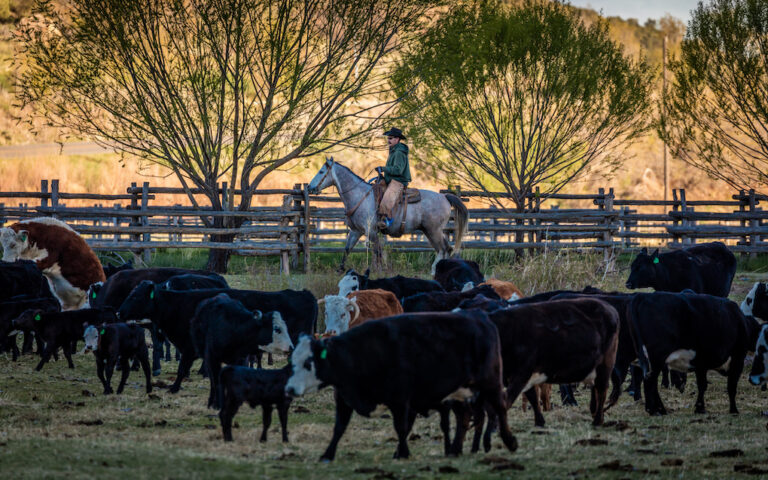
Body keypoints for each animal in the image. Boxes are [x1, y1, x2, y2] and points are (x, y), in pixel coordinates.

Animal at [117, 284, 316, 392]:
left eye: (135, 296)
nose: (119, 312)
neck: (178, 305)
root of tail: (303, 293)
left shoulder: (189, 347)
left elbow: (182, 369)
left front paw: (174, 387)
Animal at [282, 312, 516, 462]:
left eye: (308, 362)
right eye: (293, 362)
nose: (289, 390)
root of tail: (481, 319)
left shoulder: (400, 399)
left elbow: (401, 427)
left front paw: (403, 453)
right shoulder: (344, 398)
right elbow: (338, 428)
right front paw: (327, 454)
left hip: (491, 382)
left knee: (501, 408)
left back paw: (509, 441)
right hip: (458, 392)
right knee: (464, 417)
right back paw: (455, 450)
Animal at [306, 156, 468, 272]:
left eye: (321, 172)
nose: (309, 187)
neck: (359, 195)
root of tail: (445, 196)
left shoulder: (371, 231)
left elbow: (377, 251)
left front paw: (380, 270)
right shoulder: (356, 231)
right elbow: (347, 249)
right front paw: (340, 269)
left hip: (433, 230)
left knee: (443, 249)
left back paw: (434, 270)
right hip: (430, 231)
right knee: (446, 248)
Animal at [628, 290, 760, 414]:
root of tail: (644, 296)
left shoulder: (701, 363)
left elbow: (702, 385)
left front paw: (699, 408)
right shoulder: (738, 358)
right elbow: (731, 387)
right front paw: (733, 410)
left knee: (647, 380)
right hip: (656, 357)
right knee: (650, 381)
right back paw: (656, 410)